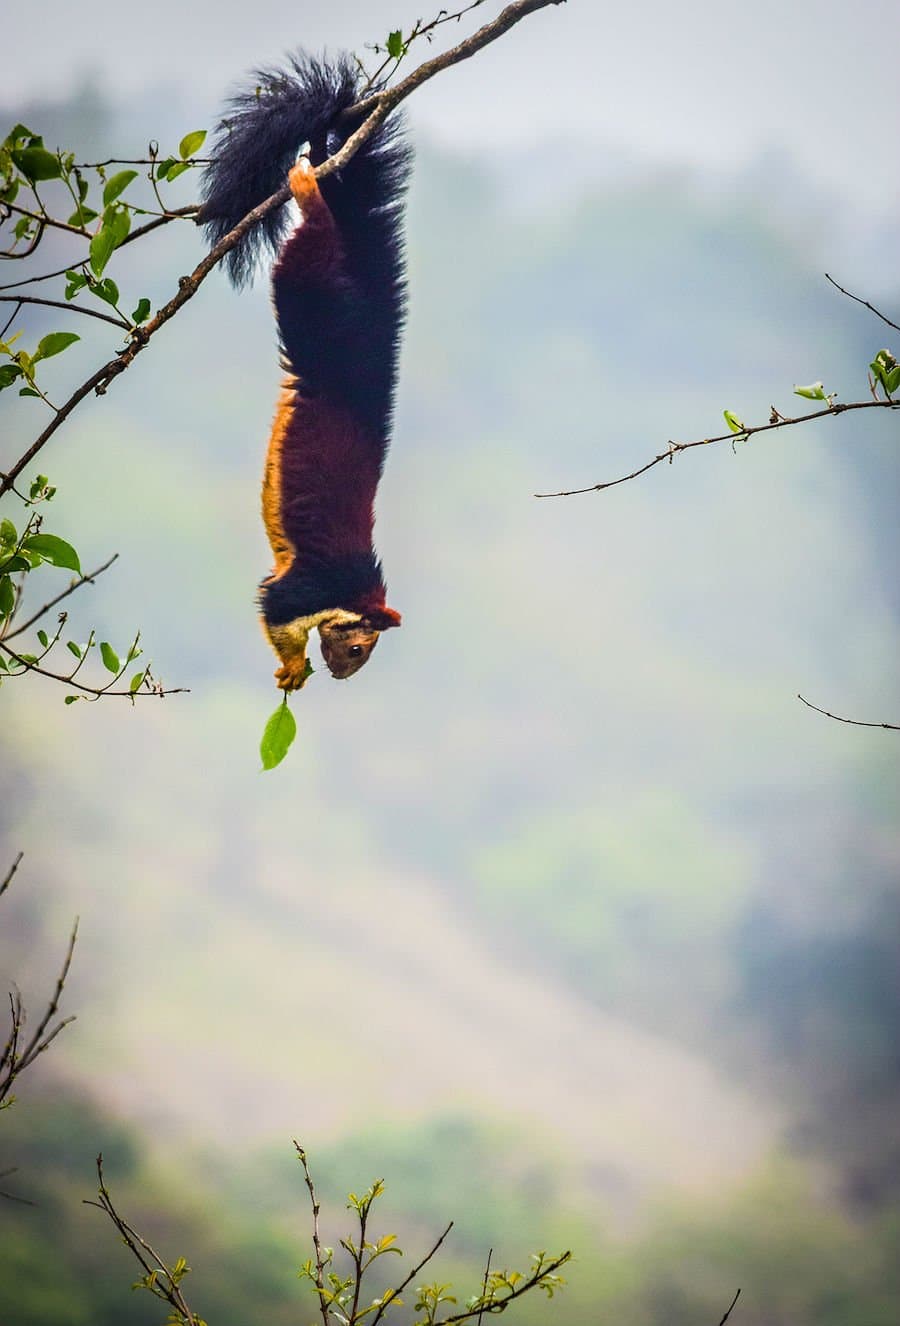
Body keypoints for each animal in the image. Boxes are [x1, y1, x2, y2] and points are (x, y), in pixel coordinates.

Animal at [200, 55, 411, 690]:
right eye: (360, 647)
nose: (343, 676)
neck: (355, 592)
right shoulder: (312, 585)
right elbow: (276, 607)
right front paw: (293, 671)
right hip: (311, 293)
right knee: (309, 245)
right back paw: (307, 185)